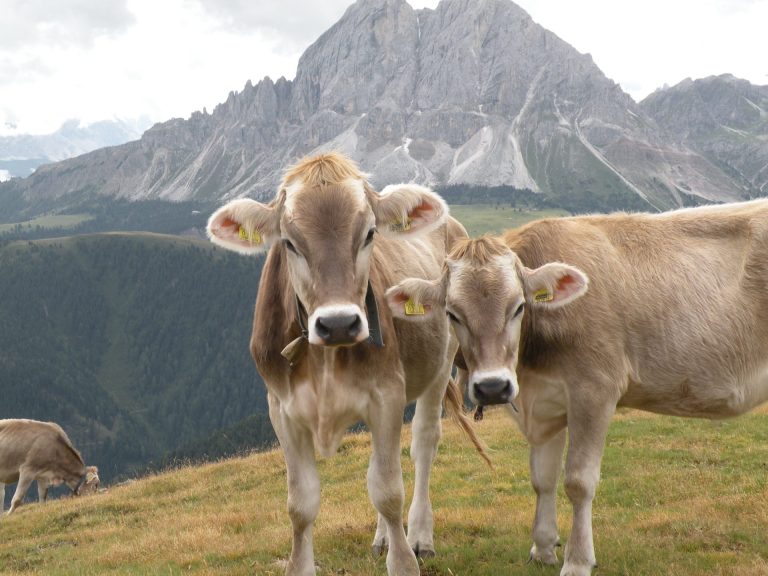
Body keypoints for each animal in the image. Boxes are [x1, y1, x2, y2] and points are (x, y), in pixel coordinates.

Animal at [207, 151, 476, 572]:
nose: (337, 323)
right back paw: (383, 537)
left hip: (440, 362)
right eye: (289, 242)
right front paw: (300, 566)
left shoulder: (387, 394)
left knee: (423, 443)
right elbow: (301, 504)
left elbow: (388, 491)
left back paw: (418, 534)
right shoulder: (281, 408)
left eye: (369, 234)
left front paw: (404, 562)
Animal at [388, 199, 768, 576]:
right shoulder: (547, 399)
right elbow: (542, 477)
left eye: (519, 307)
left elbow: (578, 481)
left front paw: (578, 560)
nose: (493, 387)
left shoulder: (594, 390)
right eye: (452, 313)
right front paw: (543, 548)